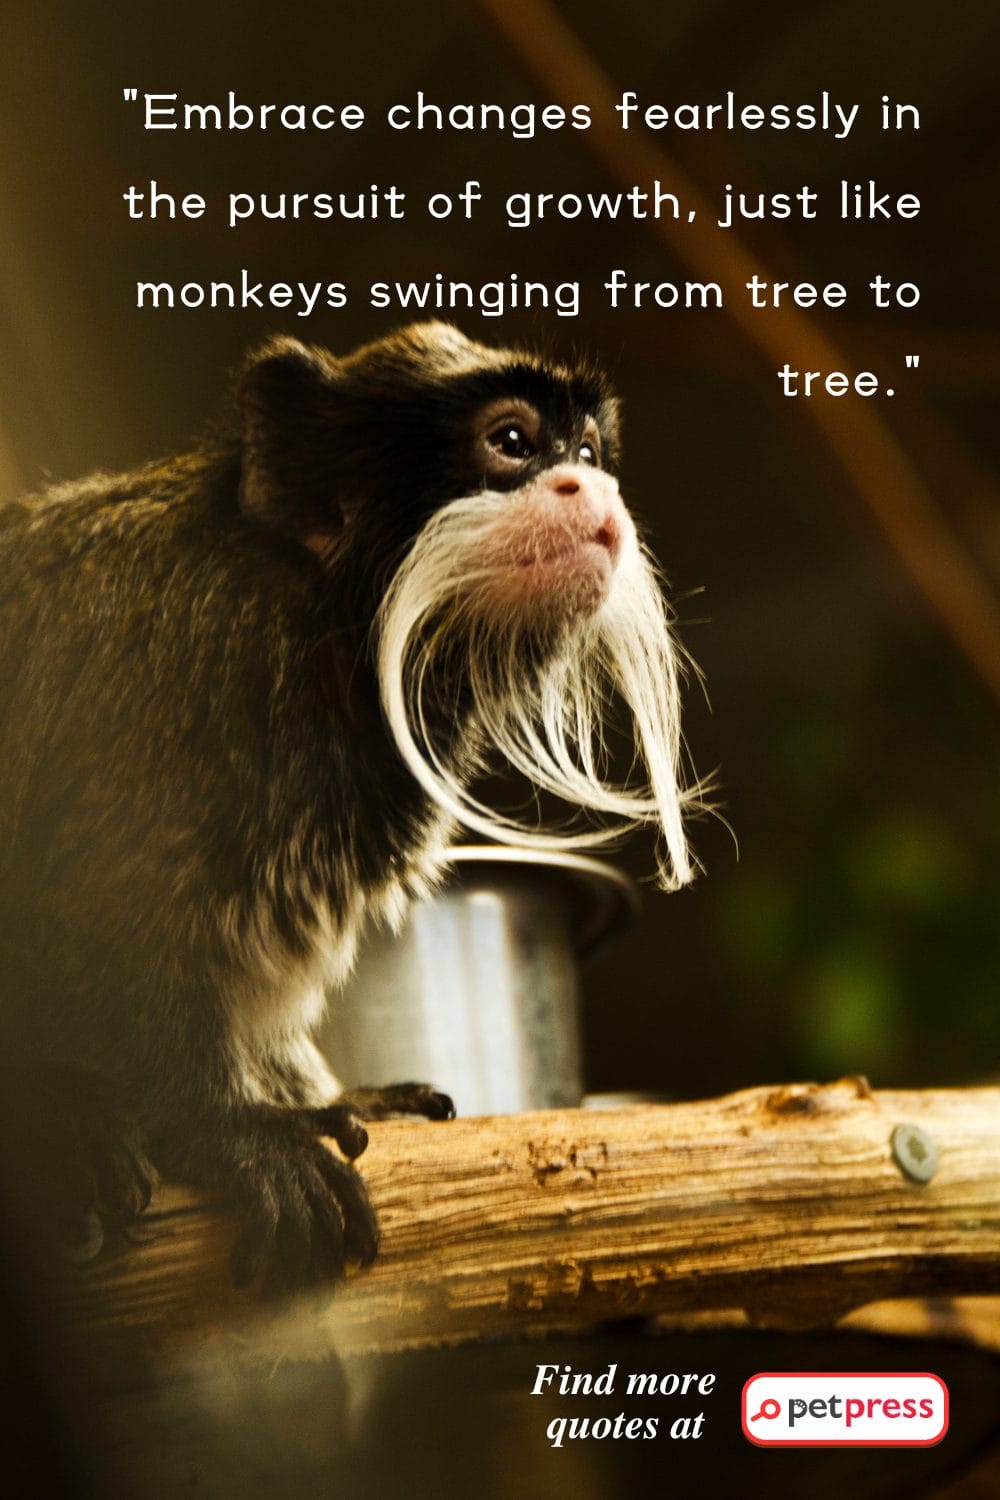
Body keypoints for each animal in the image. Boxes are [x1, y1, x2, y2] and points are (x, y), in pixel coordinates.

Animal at [0, 322, 697, 1298]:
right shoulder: (173, 680)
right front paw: (230, 1129)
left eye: (588, 451)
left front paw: (324, 1096)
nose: (590, 488)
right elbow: (101, 914)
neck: (319, 629)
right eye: (513, 442)